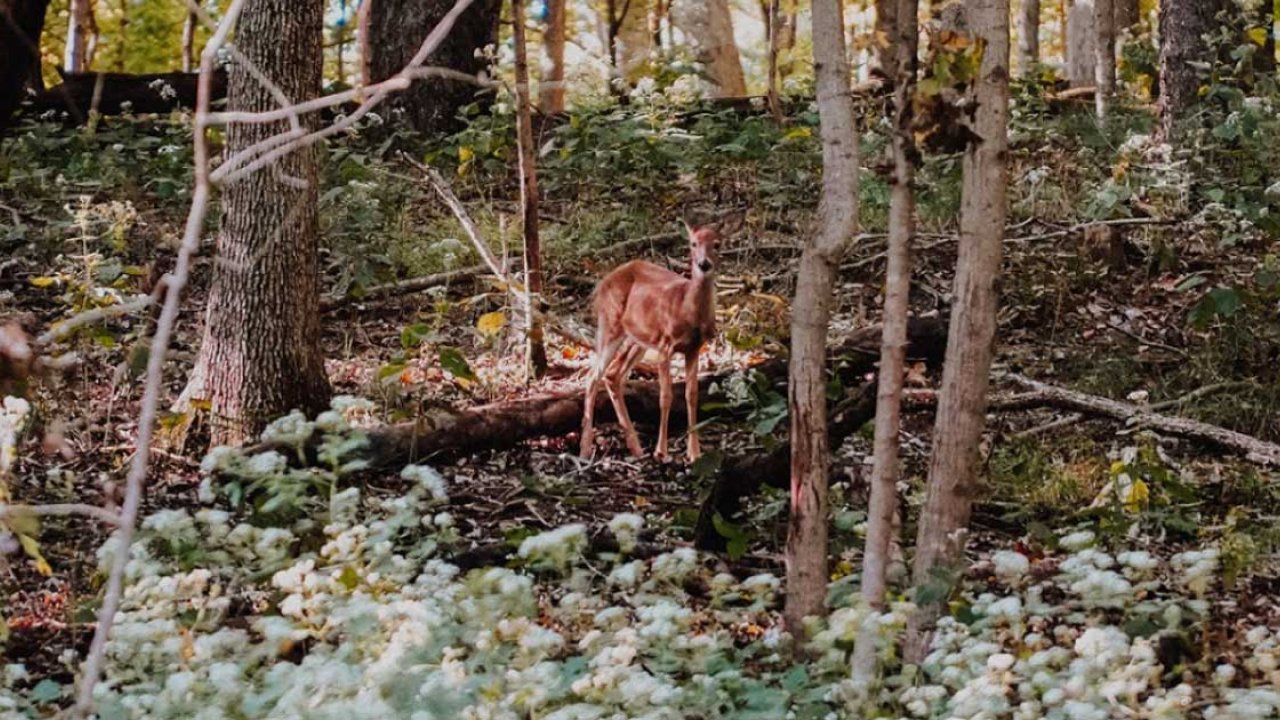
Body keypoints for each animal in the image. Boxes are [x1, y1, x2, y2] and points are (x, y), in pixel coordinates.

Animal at [580, 214, 742, 463]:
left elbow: (691, 395)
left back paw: (636, 447)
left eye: (717, 244)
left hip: (638, 338)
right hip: (610, 323)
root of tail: (602, 283)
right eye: (693, 243)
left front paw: (694, 452)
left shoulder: (694, 348)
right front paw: (661, 451)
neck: (687, 309)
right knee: (592, 376)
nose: (703, 264)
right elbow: (665, 397)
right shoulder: (666, 345)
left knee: (613, 374)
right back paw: (586, 449)